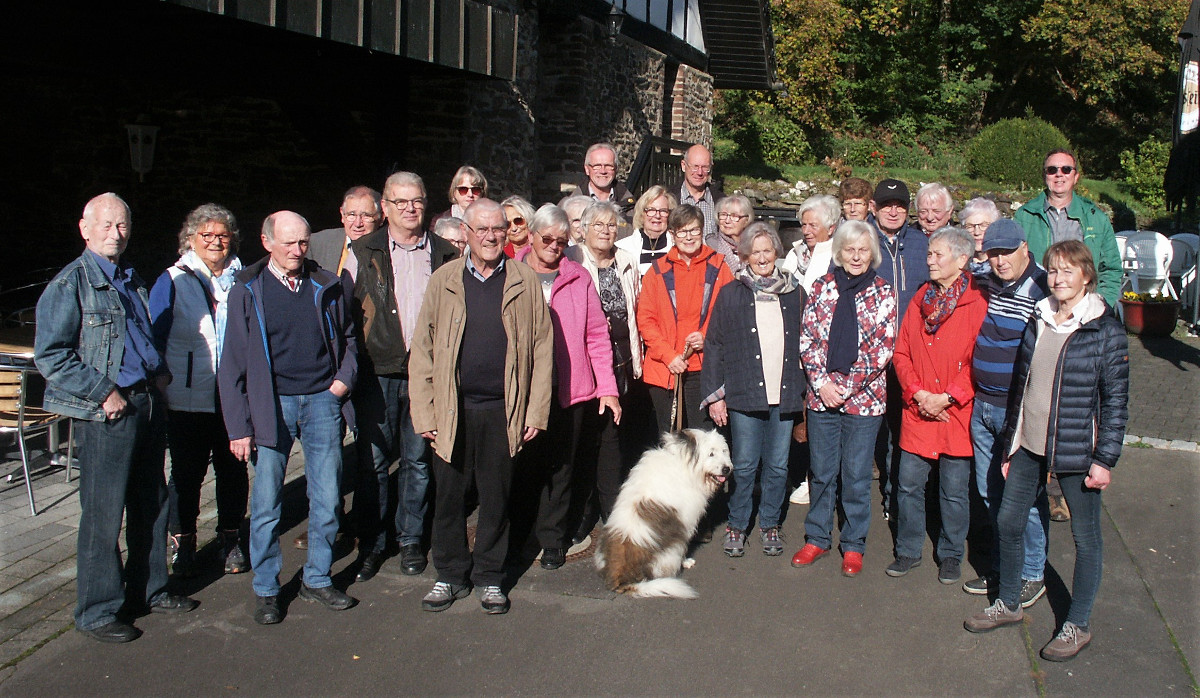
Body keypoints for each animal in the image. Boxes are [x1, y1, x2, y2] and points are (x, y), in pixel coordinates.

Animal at [592, 429, 729, 599]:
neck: (684, 462)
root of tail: (620, 577)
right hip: (670, 553)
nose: (726, 469)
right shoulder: (686, 521)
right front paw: (686, 561)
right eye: (711, 453)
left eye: (724, 451)